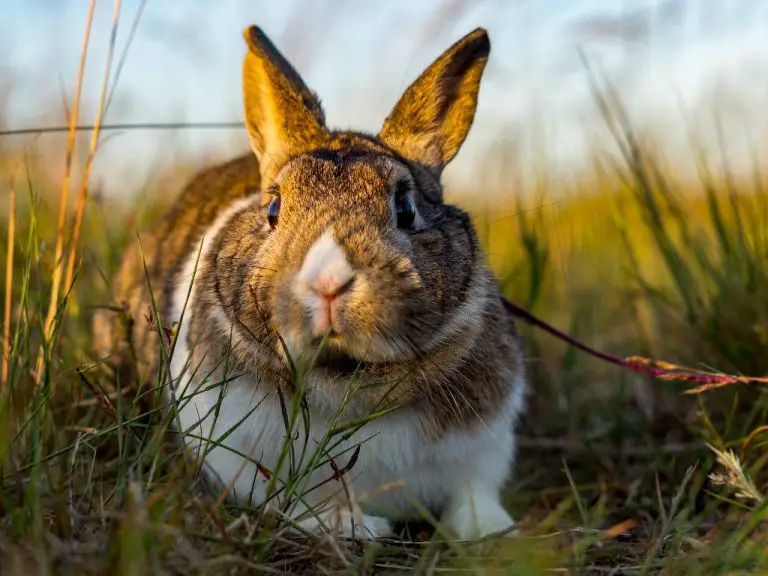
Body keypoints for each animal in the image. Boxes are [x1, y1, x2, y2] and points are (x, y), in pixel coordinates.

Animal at [94, 24, 528, 544]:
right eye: (273, 209)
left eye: (405, 208)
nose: (328, 282)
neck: (345, 379)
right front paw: (351, 526)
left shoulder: (482, 449)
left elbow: (472, 494)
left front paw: (490, 529)